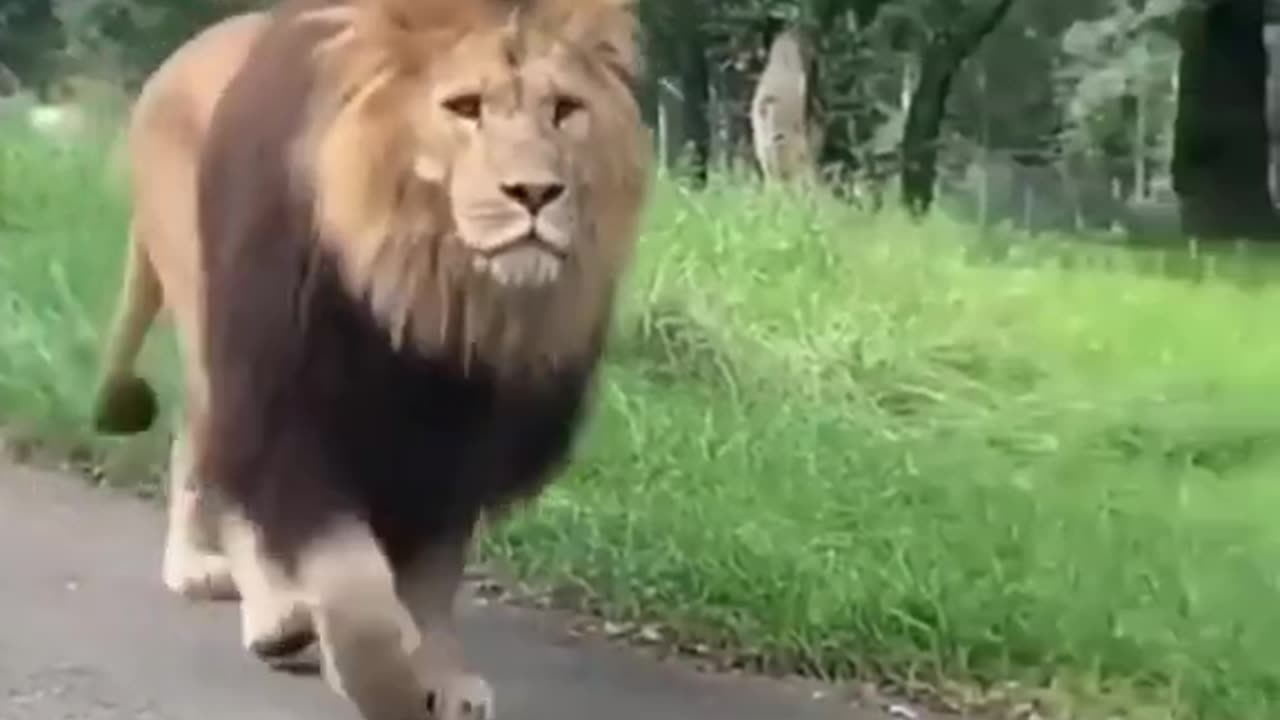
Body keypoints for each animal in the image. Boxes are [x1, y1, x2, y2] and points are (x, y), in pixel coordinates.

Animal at [92, 0, 650, 712]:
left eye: (565, 109)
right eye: (465, 107)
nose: (535, 193)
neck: (428, 289)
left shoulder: (458, 445)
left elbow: (432, 578)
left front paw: (441, 674)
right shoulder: (287, 402)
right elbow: (350, 588)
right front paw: (381, 681)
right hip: (211, 322)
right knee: (215, 458)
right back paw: (261, 611)